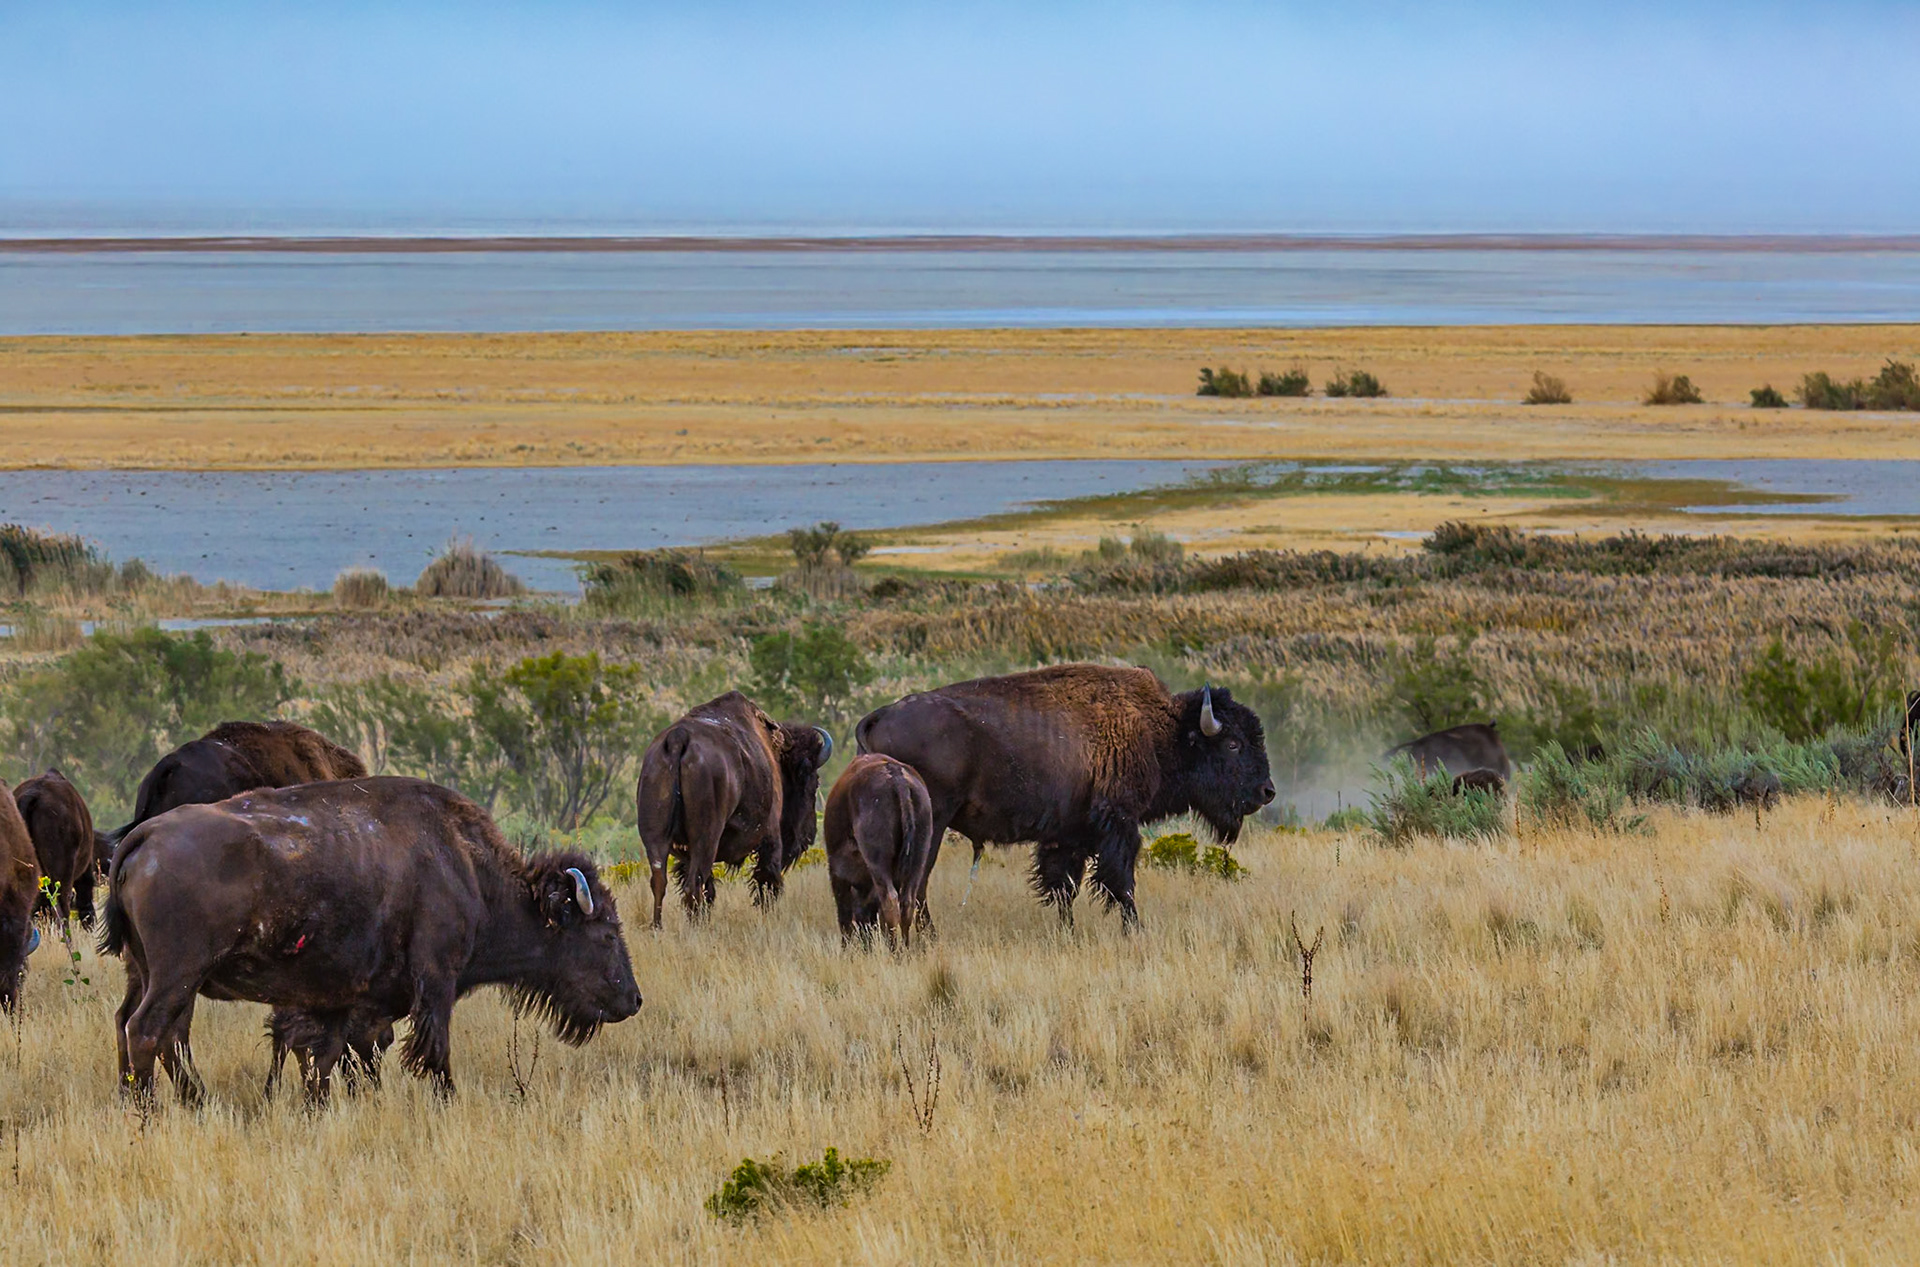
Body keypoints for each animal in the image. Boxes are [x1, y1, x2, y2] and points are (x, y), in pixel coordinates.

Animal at [102, 777, 640, 1103]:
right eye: (605, 932)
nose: (633, 999)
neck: (464, 868)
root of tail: (143, 838)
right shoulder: (435, 984)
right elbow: (432, 1053)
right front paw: (446, 1102)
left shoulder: (344, 999)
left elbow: (332, 1057)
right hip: (178, 976)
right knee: (149, 1031)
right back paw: (154, 1111)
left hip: (151, 975)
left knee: (141, 1028)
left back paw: (175, 1102)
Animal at [635, 691, 832, 926]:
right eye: (813, 782)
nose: (809, 836)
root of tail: (678, 738)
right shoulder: (771, 837)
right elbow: (767, 880)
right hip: (705, 840)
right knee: (694, 885)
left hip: (656, 838)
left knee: (660, 882)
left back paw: (658, 927)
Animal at [824, 754, 935, 948]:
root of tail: (897, 776)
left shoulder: (838, 874)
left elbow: (844, 918)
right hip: (917, 861)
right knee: (907, 903)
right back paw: (904, 949)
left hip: (877, 863)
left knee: (889, 901)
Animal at [856, 664, 1274, 926]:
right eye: (1233, 744)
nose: (1267, 791)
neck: (1159, 730)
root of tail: (879, 715)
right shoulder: (1118, 824)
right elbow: (1120, 883)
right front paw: (1134, 931)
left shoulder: (1067, 835)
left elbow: (1064, 888)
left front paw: (1067, 932)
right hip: (932, 825)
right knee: (916, 886)